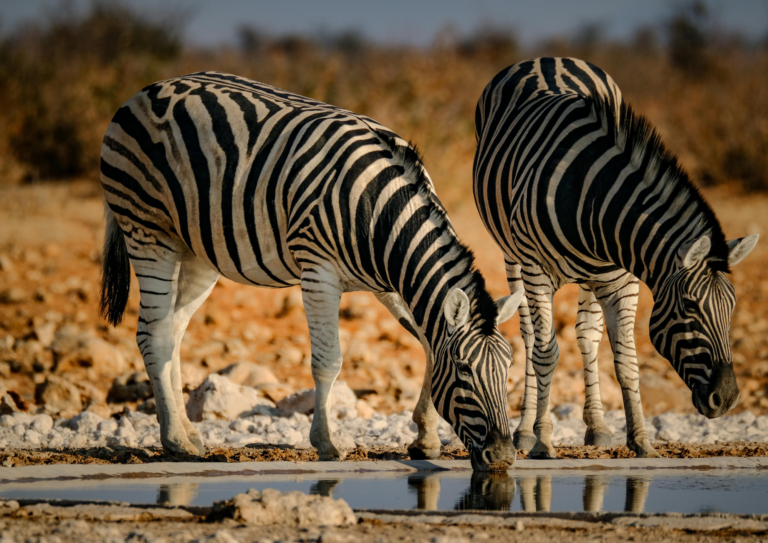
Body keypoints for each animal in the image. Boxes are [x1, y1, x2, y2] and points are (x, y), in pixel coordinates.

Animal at [99, 71, 524, 469]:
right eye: (464, 370)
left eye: (508, 370)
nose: (504, 456)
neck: (380, 213)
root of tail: (145, 91)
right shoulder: (319, 272)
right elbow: (328, 361)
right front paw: (326, 443)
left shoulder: (389, 283)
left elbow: (427, 343)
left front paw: (426, 437)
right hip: (147, 230)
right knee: (153, 334)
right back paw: (175, 441)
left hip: (196, 249)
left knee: (173, 331)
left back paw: (187, 433)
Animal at [473, 57, 758, 459]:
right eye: (689, 307)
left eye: (731, 307)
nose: (728, 398)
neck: (591, 197)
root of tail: (549, 58)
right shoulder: (536, 270)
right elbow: (546, 352)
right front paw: (543, 441)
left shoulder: (623, 280)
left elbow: (626, 361)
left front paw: (641, 441)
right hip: (512, 255)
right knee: (530, 337)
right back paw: (526, 431)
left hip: (593, 278)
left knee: (587, 335)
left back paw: (597, 426)